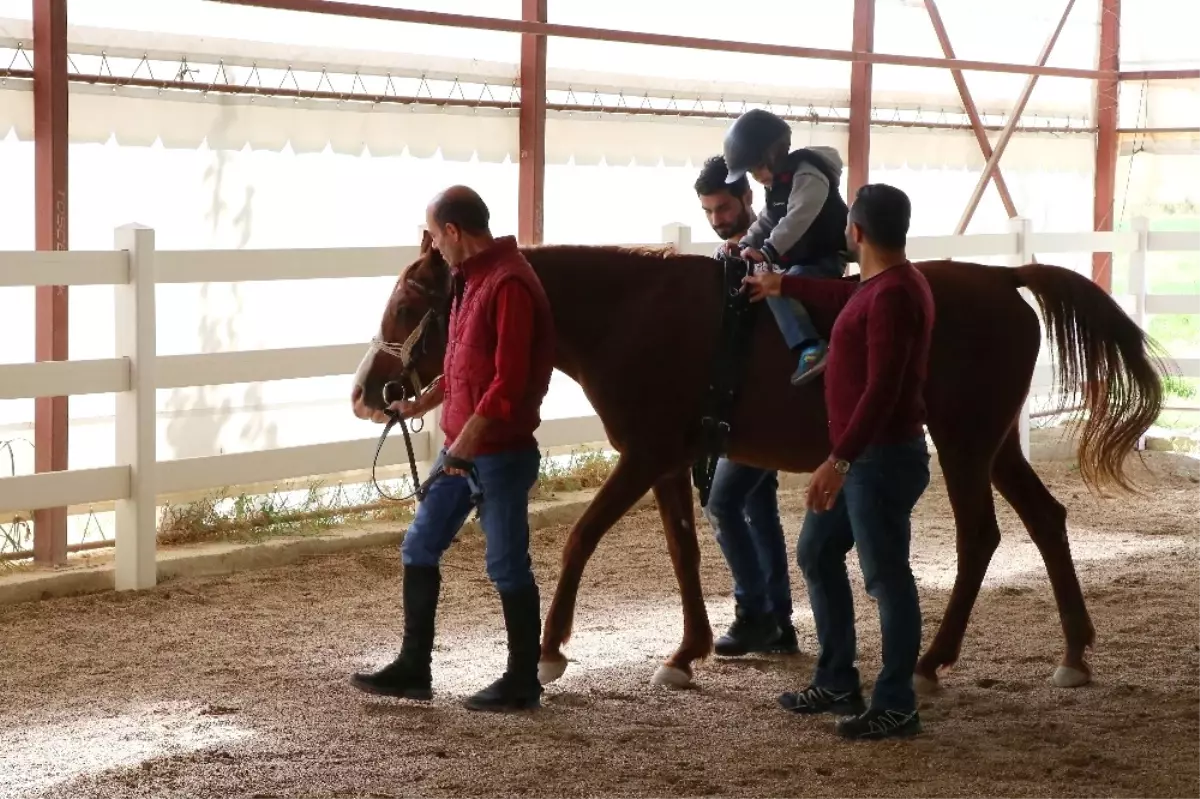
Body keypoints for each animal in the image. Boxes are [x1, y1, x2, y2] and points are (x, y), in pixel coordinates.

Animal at [350, 235, 1166, 691]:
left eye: (410, 303)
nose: (366, 391)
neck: (628, 311)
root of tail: (1002, 277)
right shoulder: (669, 459)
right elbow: (683, 549)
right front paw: (685, 653)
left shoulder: (644, 452)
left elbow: (582, 537)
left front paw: (550, 651)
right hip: (994, 444)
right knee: (1048, 520)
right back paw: (1074, 653)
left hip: (965, 442)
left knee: (982, 539)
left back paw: (933, 660)